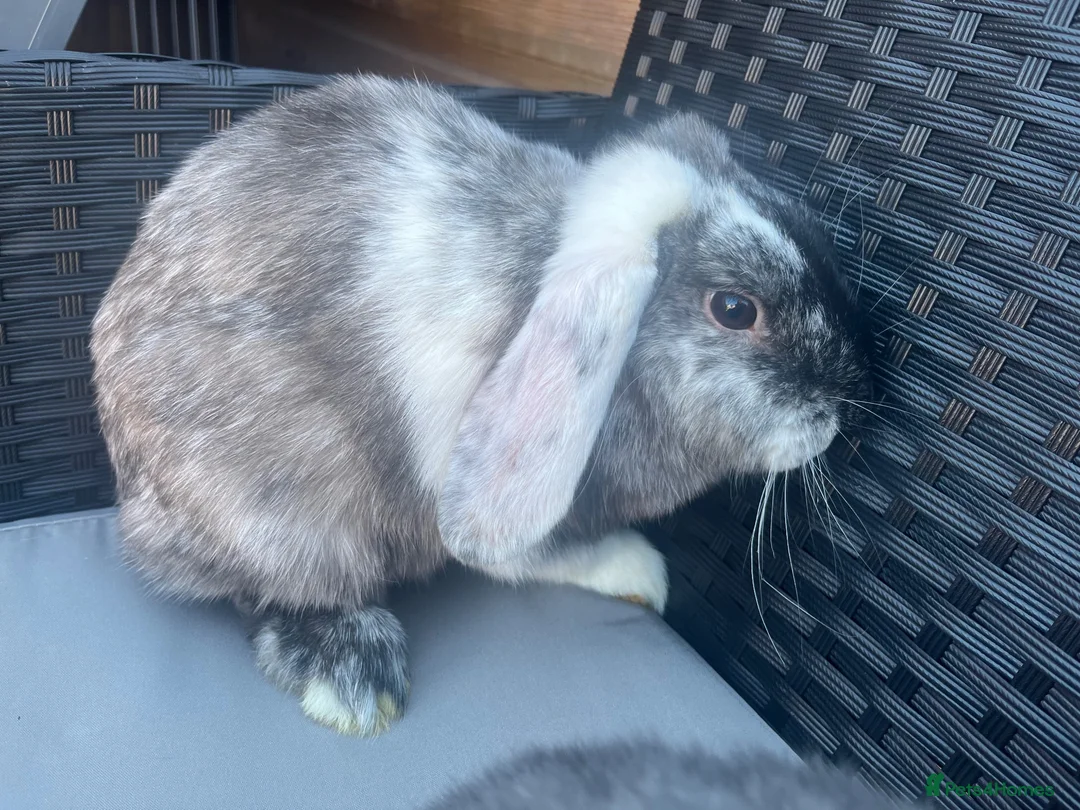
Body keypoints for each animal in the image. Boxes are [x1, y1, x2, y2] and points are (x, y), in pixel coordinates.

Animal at [90, 74, 874, 737]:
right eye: (735, 309)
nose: (846, 403)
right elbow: (520, 559)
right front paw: (637, 572)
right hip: (284, 509)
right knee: (272, 589)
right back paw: (352, 676)